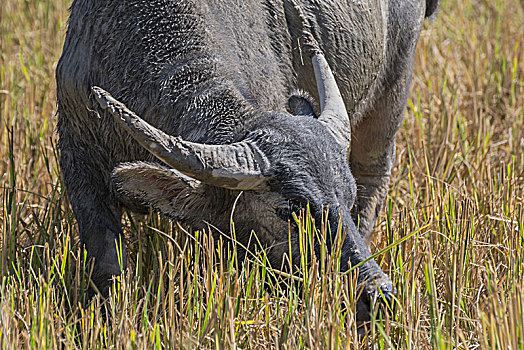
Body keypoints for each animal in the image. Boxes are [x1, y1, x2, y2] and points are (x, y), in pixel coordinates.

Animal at [56, 0, 438, 322]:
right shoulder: (77, 158)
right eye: (288, 211)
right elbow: (107, 260)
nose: (379, 295)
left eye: (347, 197)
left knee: (375, 180)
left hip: (392, 91)